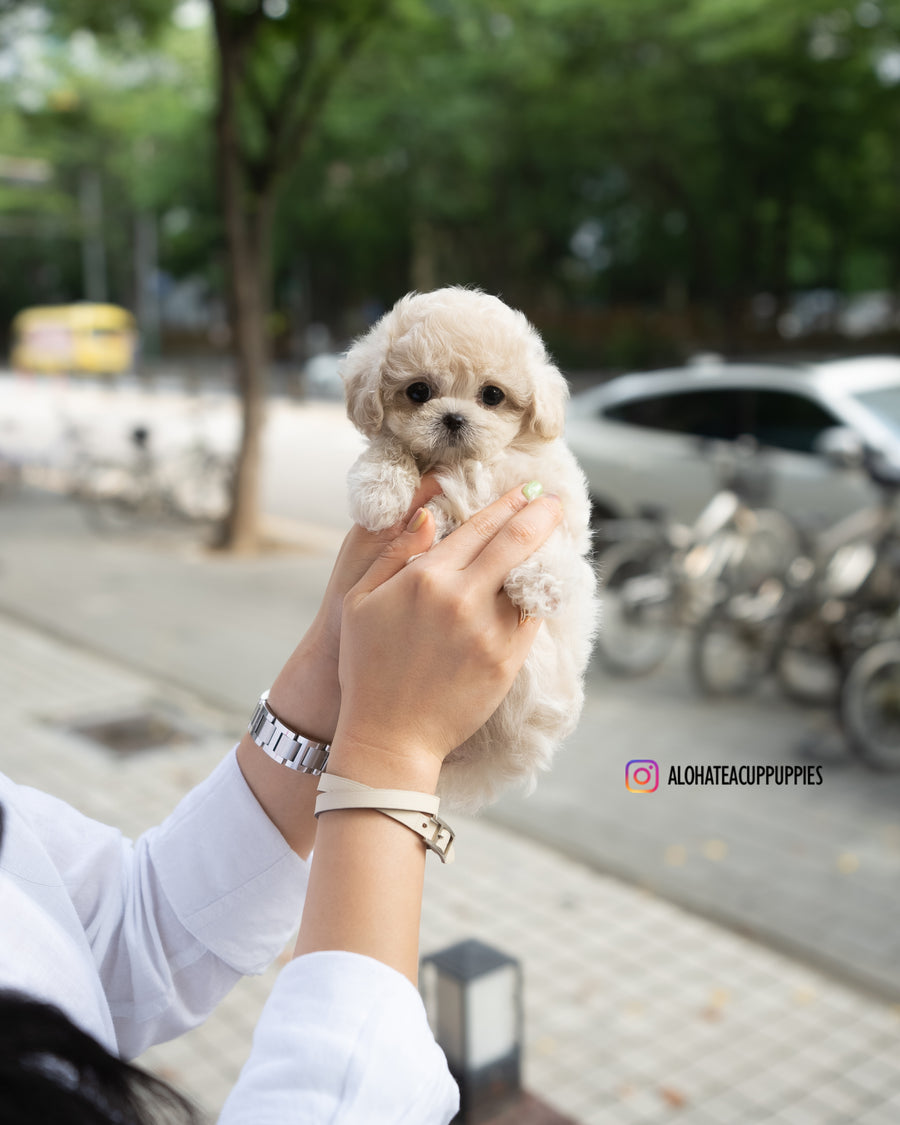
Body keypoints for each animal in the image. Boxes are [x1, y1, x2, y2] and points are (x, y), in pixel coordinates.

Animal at [342, 283, 603, 810]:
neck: (470, 461)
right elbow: (390, 446)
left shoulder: (554, 501)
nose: (454, 418)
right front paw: (378, 491)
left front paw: (539, 585)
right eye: (418, 391)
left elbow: (554, 538)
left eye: (493, 395)